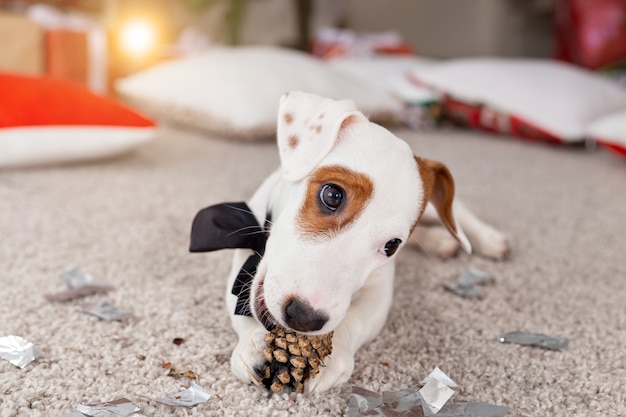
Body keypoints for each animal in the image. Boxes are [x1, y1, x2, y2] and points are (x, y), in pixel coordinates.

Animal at [190, 91, 508, 394]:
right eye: (332, 195)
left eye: (391, 245)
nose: (304, 317)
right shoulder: (241, 256)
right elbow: (239, 303)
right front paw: (253, 343)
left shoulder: (379, 294)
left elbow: (353, 321)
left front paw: (331, 361)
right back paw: (442, 241)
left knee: (457, 212)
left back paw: (488, 239)